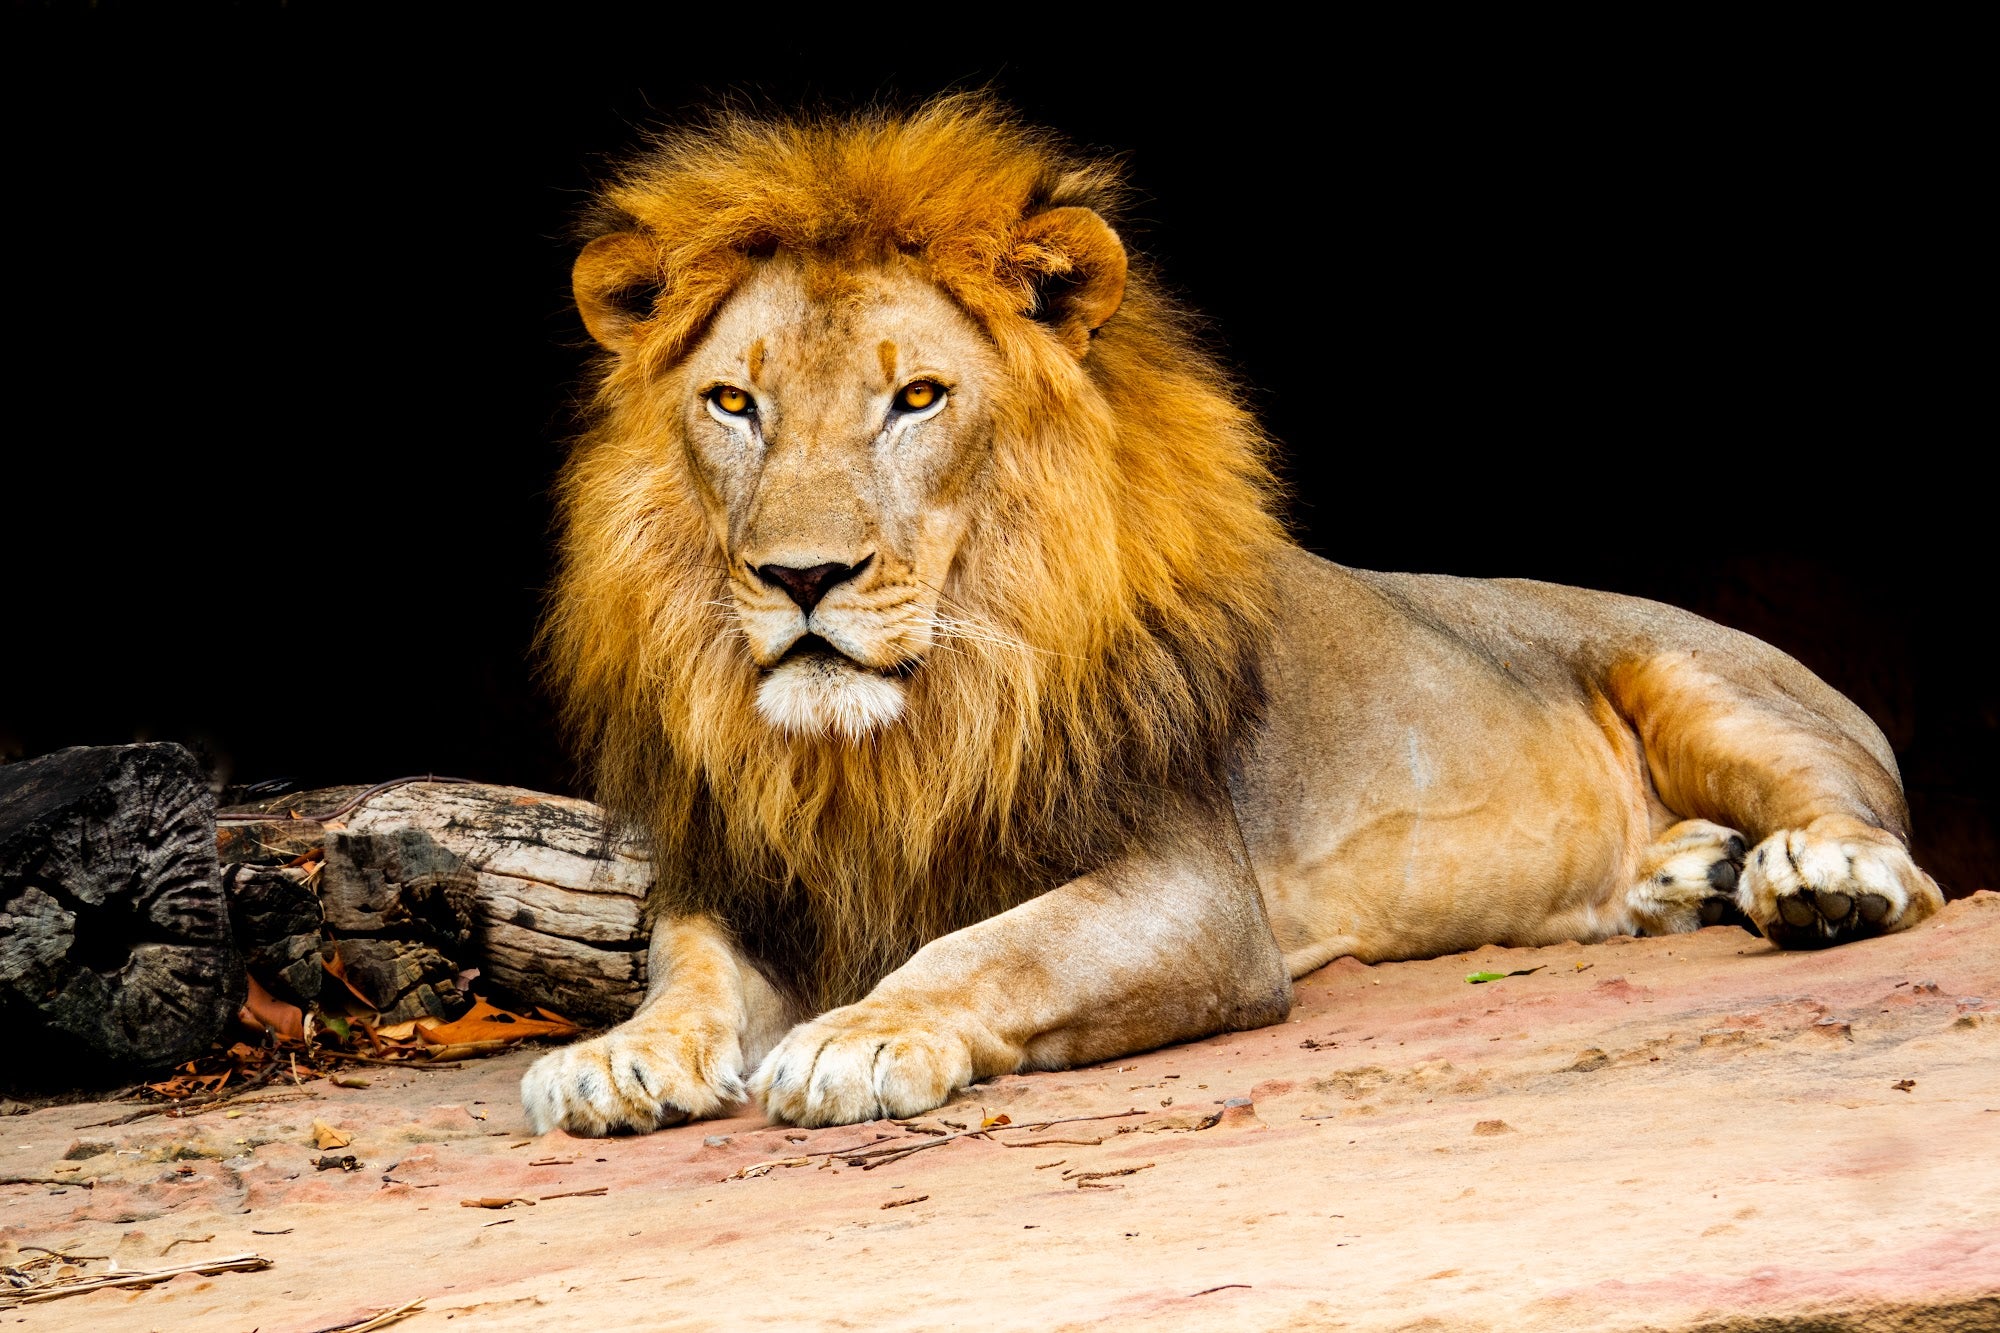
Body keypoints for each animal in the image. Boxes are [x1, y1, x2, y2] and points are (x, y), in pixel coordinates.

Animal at [521, 96, 1943, 1134]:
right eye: (732, 403)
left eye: (916, 398)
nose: (802, 577)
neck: (897, 738)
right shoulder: (742, 875)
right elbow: (684, 967)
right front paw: (620, 1056)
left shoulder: (1192, 890)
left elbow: (996, 946)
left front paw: (861, 1035)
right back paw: (1676, 875)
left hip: (1706, 683)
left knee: (1876, 831)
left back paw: (1811, 880)